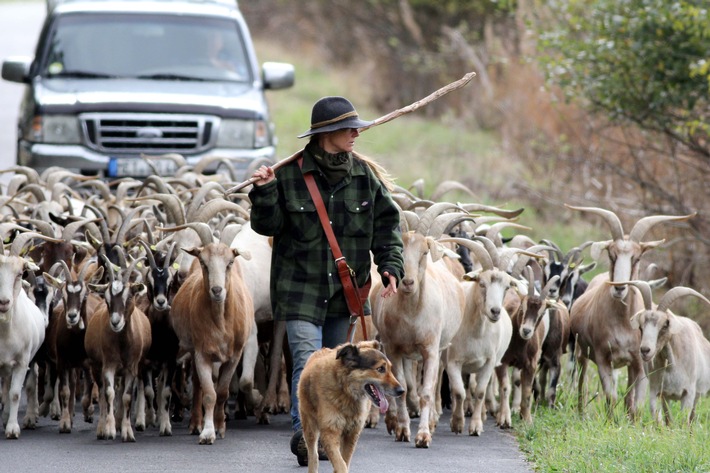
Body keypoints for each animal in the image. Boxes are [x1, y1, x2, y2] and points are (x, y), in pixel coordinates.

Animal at [296, 340, 406, 472]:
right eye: (380, 369)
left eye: (389, 368)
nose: (402, 391)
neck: (346, 391)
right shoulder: (329, 432)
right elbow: (340, 464)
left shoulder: (352, 434)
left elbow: (344, 461)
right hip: (310, 427)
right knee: (313, 455)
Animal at [572, 205, 700, 418]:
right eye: (611, 255)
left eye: (637, 257)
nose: (619, 288)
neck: (622, 322)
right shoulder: (602, 357)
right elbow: (611, 397)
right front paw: (610, 422)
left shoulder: (639, 364)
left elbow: (634, 404)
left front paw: (631, 422)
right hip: (582, 353)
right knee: (581, 384)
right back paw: (581, 413)